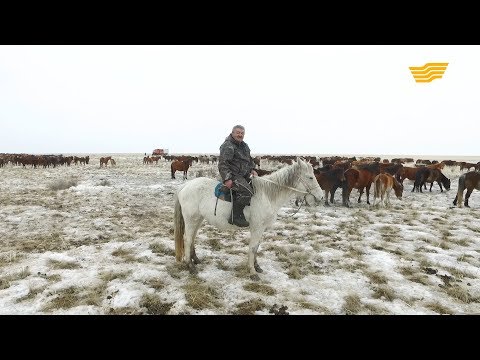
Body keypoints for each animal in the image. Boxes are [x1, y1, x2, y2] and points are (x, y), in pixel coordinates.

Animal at [172, 158, 322, 282]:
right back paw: (190, 266)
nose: (320, 196)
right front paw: (252, 272)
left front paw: (257, 267)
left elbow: (257, 247)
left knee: (192, 238)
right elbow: (253, 248)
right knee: (187, 239)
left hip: (198, 219)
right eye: (310, 177)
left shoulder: (261, 229)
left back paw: (195, 259)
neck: (267, 195)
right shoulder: (257, 227)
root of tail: (184, 186)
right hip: (191, 219)